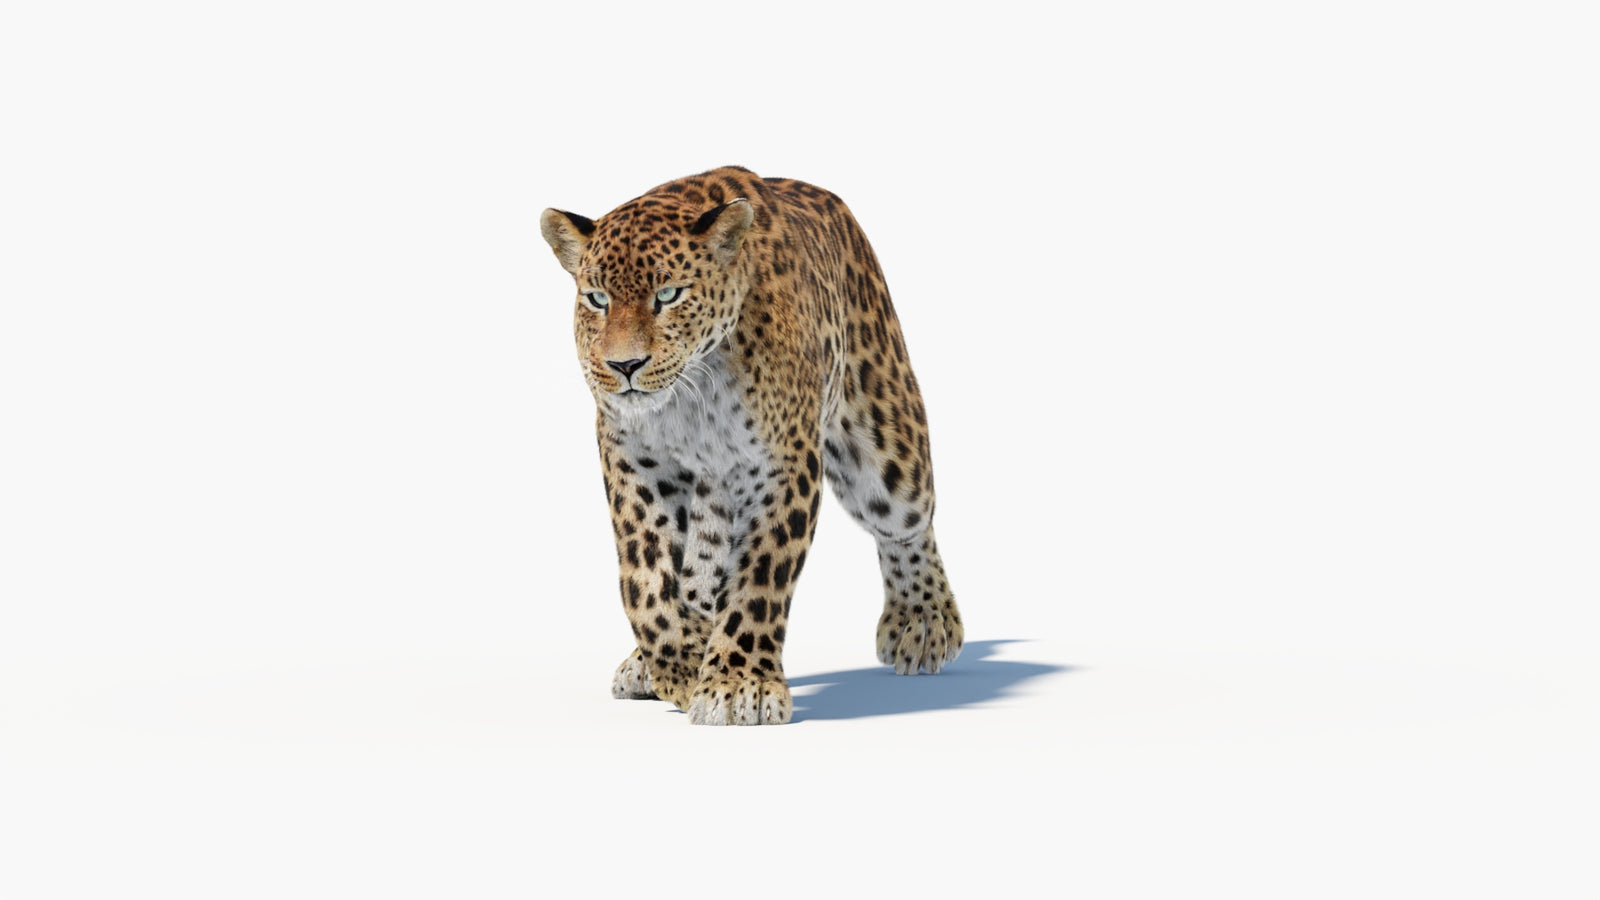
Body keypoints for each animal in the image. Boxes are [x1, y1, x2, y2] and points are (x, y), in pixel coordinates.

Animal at [539, 166, 963, 725]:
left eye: (669, 295)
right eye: (597, 300)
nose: (623, 366)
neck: (695, 391)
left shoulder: (783, 464)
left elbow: (760, 577)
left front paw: (739, 684)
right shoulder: (635, 460)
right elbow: (646, 578)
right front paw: (681, 664)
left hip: (885, 436)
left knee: (908, 525)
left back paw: (924, 621)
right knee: (700, 565)